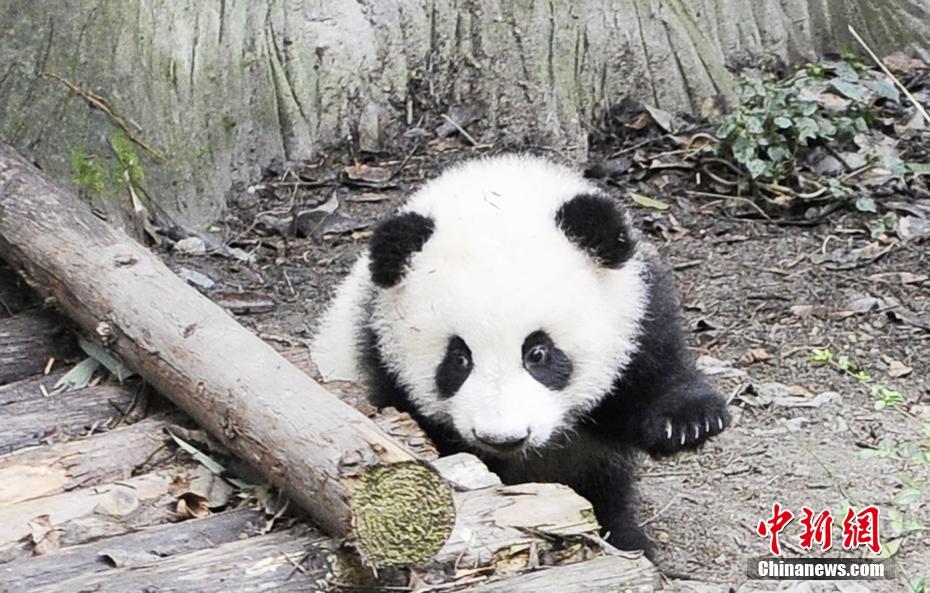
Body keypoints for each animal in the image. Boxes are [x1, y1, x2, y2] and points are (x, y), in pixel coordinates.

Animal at [311, 154, 730, 558]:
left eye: (538, 353)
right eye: (459, 359)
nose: (503, 438)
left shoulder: (638, 311)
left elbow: (650, 373)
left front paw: (690, 422)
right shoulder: (377, 356)